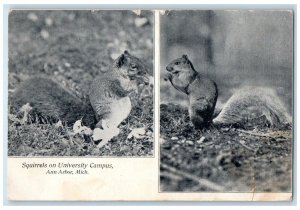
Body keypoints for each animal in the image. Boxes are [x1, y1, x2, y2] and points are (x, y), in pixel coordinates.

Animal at [10, 50, 151, 135]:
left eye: (139, 59)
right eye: (133, 66)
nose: (146, 71)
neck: (119, 74)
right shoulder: (113, 84)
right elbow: (124, 90)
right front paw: (141, 81)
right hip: (108, 118)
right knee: (98, 128)